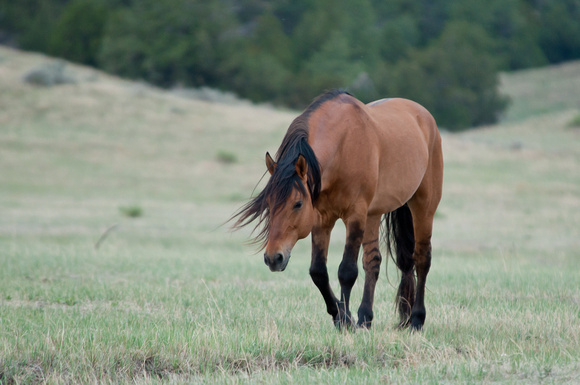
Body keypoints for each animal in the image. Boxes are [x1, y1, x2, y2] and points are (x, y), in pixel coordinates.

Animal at [231, 90, 444, 330]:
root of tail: (425, 116)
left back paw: (416, 319)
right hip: (374, 213)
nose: (273, 258)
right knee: (373, 261)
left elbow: (347, 271)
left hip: (423, 206)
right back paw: (366, 318)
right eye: (268, 203)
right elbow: (318, 272)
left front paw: (344, 321)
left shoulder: (355, 215)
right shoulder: (322, 219)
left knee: (422, 259)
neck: (343, 147)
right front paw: (341, 315)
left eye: (298, 204)